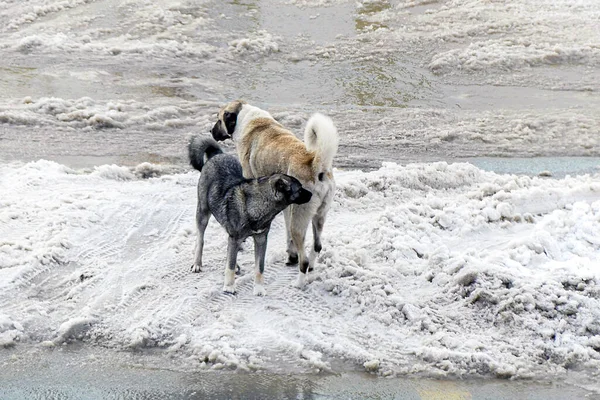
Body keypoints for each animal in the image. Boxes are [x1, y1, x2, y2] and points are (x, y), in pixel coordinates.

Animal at [188, 136, 312, 296]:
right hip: (202, 212)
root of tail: (217, 154)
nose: (311, 194)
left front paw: (258, 288)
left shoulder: (261, 239)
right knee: (201, 240)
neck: (256, 204)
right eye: (300, 189)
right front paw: (229, 287)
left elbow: (259, 266)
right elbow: (230, 264)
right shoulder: (235, 237)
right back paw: (197, 263)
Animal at [213, 101, 340, 288]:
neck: (249, 118)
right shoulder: (287, 205)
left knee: (303, 259)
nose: (211, 132)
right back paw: (310, 267)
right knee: (317, 246)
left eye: (219, 119)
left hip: (299, 219)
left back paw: (299, 283)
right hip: (319, 216)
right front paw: (290, 255)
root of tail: (316, 164)